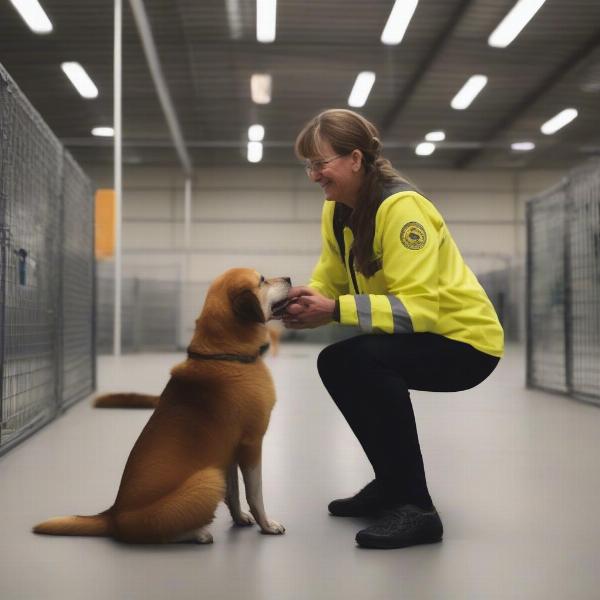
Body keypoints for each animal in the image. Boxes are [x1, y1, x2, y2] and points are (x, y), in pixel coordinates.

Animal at [34, 270, 292, 540]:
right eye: (262, 280)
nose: (288, 278)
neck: (227, 357)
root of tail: (113, 516)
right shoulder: (251, 444)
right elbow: (255, 493)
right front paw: (267, 525)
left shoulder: (229, 450)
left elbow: (234, 493)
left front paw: (240, 518)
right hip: (208, 478)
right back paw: (198, 534)